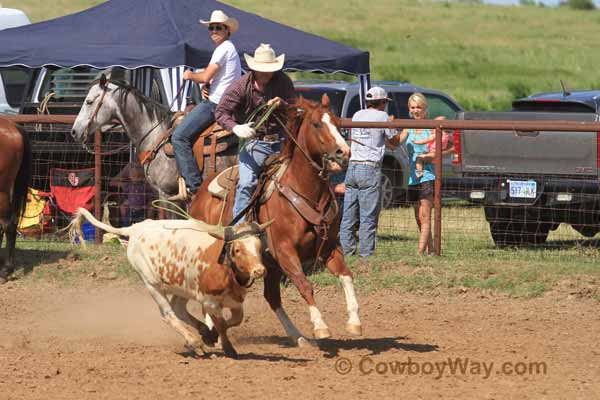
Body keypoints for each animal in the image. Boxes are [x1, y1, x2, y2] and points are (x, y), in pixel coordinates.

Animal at [68, 208, 270, 358]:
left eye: (259, 246)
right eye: (237, 249)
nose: (259, 270)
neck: (225, 264)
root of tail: (136, 228)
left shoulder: (236, 301)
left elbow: (235, 320)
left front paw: (212, 336)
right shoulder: (210, 302)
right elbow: (220, 324)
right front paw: (226, 347)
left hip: (181, 286)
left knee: (178, 309)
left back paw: (202, 333)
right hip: (152, 284)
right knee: (168, 314)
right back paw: (194, 341)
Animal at [192, 95, 360, 346]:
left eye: (339, 123)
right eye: (316, 124)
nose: (344, 152)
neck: (305, 191)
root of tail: (199, 195)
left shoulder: (329, 247)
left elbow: (346, 276)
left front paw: (354, 322)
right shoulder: (284, 250)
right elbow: (304, 284)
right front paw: (320, 326)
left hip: (269, 266)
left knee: (271, 297)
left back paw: (298, 336)